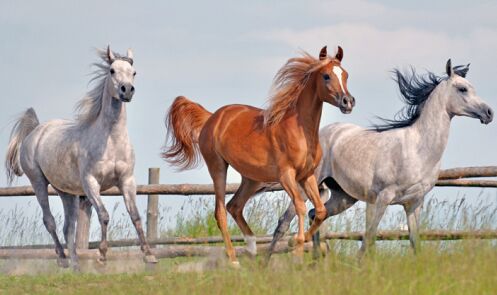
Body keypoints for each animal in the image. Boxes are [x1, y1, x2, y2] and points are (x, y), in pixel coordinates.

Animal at [4, 46, 156, 270]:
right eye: (111, 70)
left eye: (133, 72)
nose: (126, 90)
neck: (110, 141)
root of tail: (36, 131)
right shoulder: (90, 183)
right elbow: (103, 215)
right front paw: (102, 256)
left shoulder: (127, 180)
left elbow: (135, 216)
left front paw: (149, 255)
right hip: (38, 182)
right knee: (49, 220)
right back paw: (62, 259)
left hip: (66, 192)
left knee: (68, 226)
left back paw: (76, 265)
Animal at [162, 46, 352, 266]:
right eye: (326, 76)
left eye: (345, 75)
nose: (348, 102)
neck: (299, 129)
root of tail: (212, 117)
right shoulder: (286, 176)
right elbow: (300, 206)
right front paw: (296, 248)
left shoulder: (307, 175)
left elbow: (320, 211)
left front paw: (295, 243)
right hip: (218, 167)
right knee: (221, 212)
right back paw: (234, 261)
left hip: (251, 178)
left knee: (234, 206)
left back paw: (252, 250)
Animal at [266, 60, 490, 262]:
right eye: (462, 89)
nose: (489, 113)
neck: (418, 149)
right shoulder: (383, 198)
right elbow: (369, 238)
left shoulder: (414, 203)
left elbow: (415, 243)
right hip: (305, 187)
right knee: (284, 222)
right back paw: (266, 265)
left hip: (344, 197)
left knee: (316, 214)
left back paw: (317, 263)